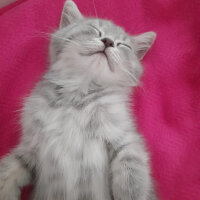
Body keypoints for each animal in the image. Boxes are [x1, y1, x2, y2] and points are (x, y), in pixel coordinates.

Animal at [0, 0, 157, 199]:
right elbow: (8, 170)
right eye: (94, 30)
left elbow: (133, 176)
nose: (108, 41)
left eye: (123, 45)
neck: (76, 97)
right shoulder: (30, 147)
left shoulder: (125, 139)